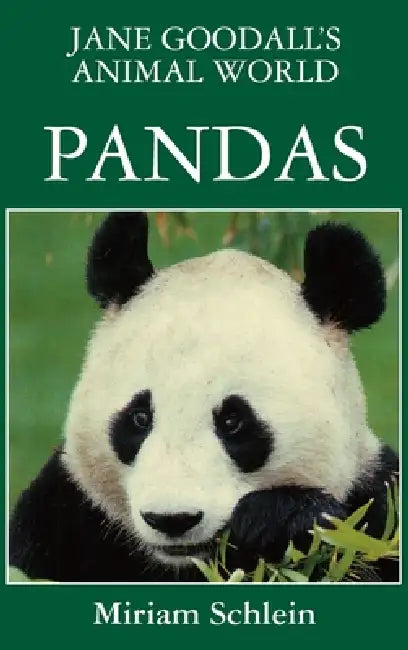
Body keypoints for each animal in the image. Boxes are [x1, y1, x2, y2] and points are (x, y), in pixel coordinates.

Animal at [10, 212, 399, 583]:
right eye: (139, 417)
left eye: (233, 422)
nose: (171, 519)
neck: (184, 564)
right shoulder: (66, 512)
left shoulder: (377, 504)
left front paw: (280, 519)